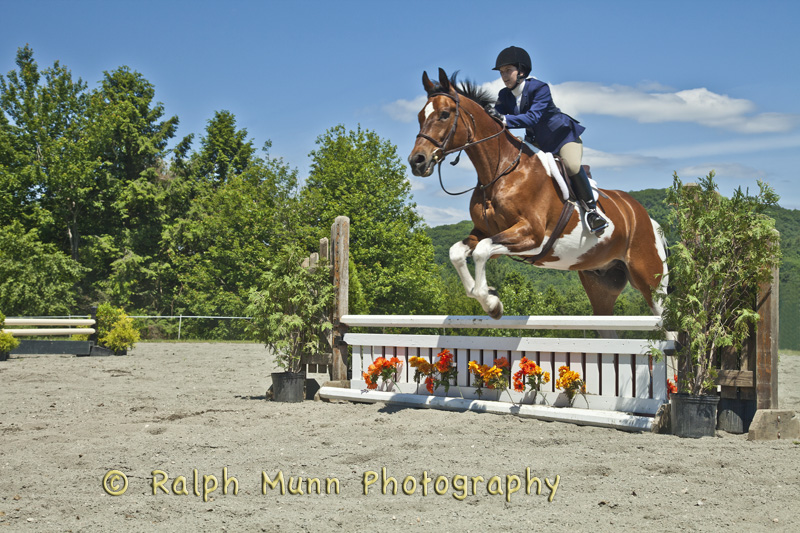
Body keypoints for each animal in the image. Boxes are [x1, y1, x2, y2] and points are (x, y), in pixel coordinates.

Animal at [406, 69, 668, 322]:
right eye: (419, 116)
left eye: (444, 114)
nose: (417, 161)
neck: (501, 171)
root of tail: (646, 218)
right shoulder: (485, 231)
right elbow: (457, 253)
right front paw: (484, 294)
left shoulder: (532, 234)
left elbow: (481, 250)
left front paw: (491, 303)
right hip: (601, 281)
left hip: (651, 280)